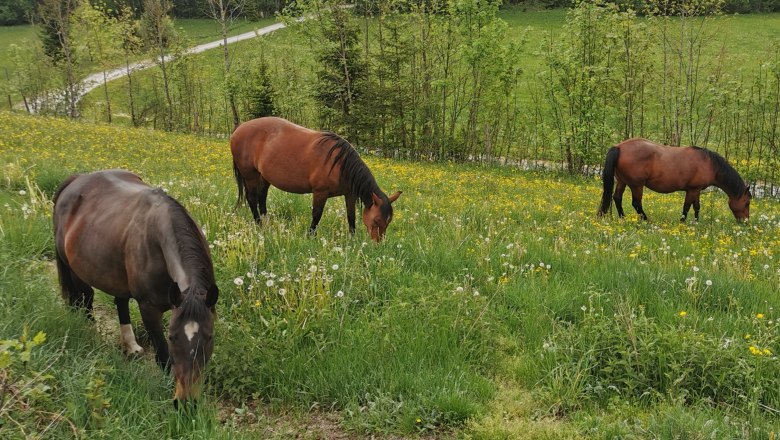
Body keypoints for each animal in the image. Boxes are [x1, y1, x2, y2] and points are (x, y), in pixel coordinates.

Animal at [52, 169, 218, 406]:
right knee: (85, 299)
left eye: (209, 337)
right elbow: (164, 358)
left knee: (119, 302)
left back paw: (130, 346)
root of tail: (75, 179)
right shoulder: (148, 309)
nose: (186, 403)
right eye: (172, 337)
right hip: (74, 269)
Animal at [230, 115, 402, 242]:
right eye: (376, 220)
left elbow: (351, 216)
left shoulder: (350, 194)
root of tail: (240, 127)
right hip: (250, 176)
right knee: (252, 198)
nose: (377, 244)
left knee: (261, 198)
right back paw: (259, 225)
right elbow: (317, 215)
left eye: (388, 222)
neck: (340, 164)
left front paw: (352, 238)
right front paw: (310, 236)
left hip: (264, 177)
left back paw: (267, 223)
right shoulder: (320, 192)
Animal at [596, 139, 748, 222]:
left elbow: (696, 207)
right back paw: (646, 220)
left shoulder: (696, 190)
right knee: (636, 203)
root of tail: (619, 147)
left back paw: (623, 218)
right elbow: (687, 207)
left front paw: (696, 222)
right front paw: (683, 222)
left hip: (622, 181)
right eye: (747, 203)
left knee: (617, 198)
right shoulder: (692, 190)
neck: (708, 163)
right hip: (636, 185)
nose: (745, 222)